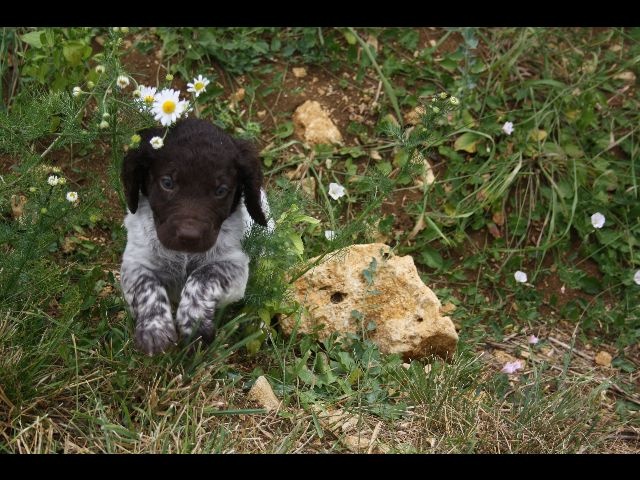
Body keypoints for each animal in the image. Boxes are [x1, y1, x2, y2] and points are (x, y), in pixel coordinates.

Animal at [120, 118, 270, 355]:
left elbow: (202, 276)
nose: (189, 236)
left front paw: (194, 324)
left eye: (221, 190)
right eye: (167, 183)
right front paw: (155, 330)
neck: (184, 255)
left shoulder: (234, 265)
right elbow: (147, 287)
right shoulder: (135, 262)